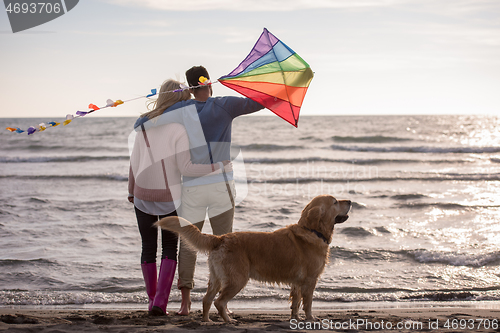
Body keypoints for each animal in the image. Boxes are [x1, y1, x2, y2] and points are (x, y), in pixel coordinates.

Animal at [156, 193, 352, 320]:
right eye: (335, 202)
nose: (350, 201)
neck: (312, 231)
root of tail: (221, 238)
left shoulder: (297, 282)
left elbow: (295, 302)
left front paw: (295, 318)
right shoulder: (310, 280)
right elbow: (308, 303)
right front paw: (311, 319)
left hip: (216, 278)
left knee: (207, 300)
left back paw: (207, 322)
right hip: (237, 279)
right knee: (219, 302)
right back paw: (228, 321)